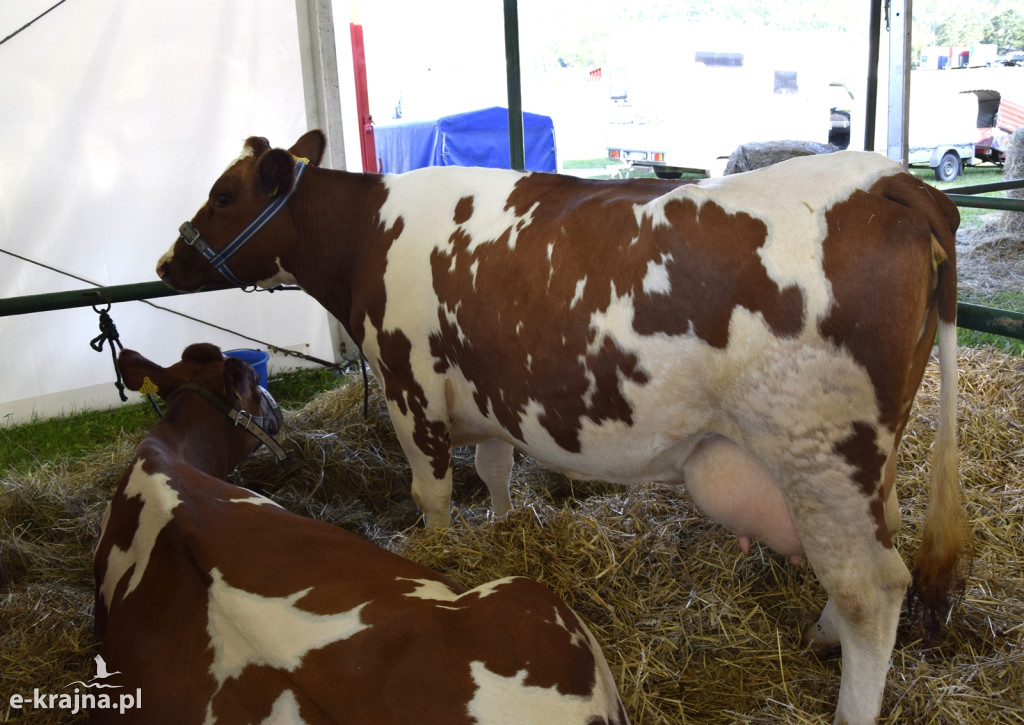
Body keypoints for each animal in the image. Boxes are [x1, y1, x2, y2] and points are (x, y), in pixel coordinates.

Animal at [157, 132, 966, 724]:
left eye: (224, 194)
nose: (167, 261)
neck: (370, 234)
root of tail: (892, 180)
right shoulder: (484, 393)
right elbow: (494, 472)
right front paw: (502, 531)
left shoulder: (409, 388)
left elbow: (432, 496)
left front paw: (439, 565)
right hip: (869, 459)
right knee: (882, 540)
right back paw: (822, 633)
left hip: (817, 451)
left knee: (871, 589)